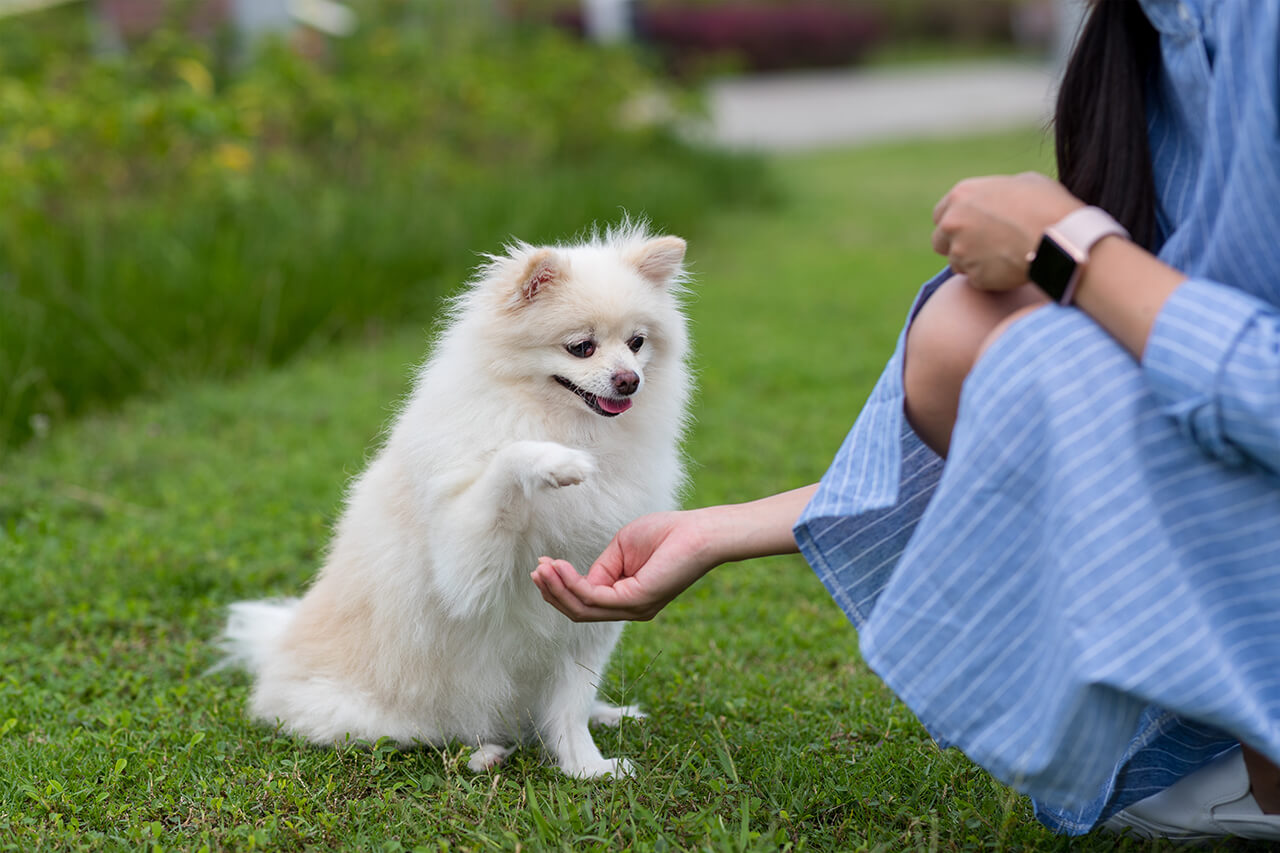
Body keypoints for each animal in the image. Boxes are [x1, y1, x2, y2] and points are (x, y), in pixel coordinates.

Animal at [220, 220, 691, 778]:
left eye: (637, 343)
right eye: (581, 347)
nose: (629, 380)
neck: (565, 423)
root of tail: (275, 651)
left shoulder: (586, 617)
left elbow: (571, 705)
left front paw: (587, 767)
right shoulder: (464, 568)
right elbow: (506, 459)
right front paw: (555, 462)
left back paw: (604, 714)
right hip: (378, 716)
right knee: (427, 735)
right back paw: (483, 752)